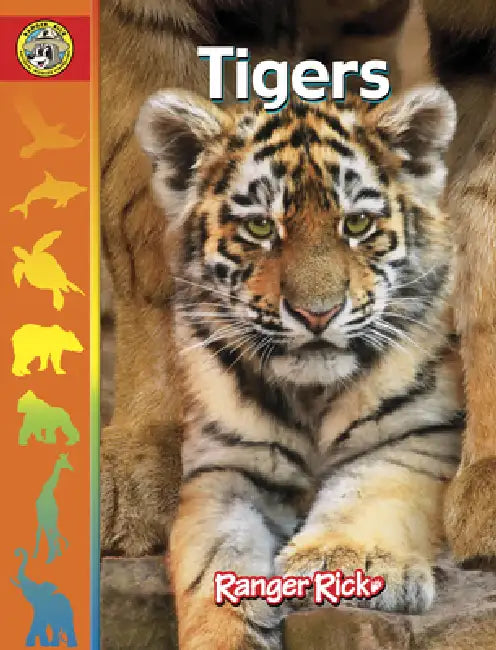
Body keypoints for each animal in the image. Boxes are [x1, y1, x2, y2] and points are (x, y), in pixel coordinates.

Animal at [135, 84, 463, 649]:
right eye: (260, 226)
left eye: (357, 224)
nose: (317, 314)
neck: (311, 393)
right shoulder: (225, 467)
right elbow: (215, 557)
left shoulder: (417, 434)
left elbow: (371, 492)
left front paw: (342, 560)